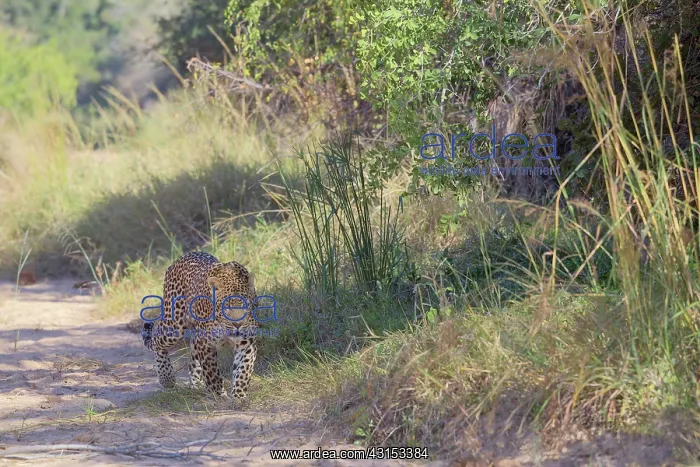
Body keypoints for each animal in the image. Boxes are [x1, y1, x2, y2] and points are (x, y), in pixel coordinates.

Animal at [141, 251, 257, 399]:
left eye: (247, 304)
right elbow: (211, 371)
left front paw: (239, 395)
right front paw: (218, 394)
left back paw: (196, 384)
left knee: (193, 359)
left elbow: (244, 369)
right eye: (226, 306)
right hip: (174, 325)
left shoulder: (247, 342)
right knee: (157, 340)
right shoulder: (205, 342)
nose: (238, 324)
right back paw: (166, 378)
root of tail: (181, 258)